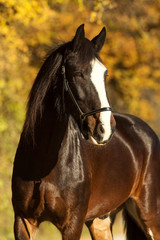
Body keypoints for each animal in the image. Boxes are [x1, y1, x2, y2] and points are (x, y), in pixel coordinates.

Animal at [11, 23, 160, 240]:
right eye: (78, 73)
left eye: (105, 74)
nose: (105, 129)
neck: (43, 160)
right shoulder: (23, 221)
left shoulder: (72, 224)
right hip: (100, 220)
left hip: (150, 215)